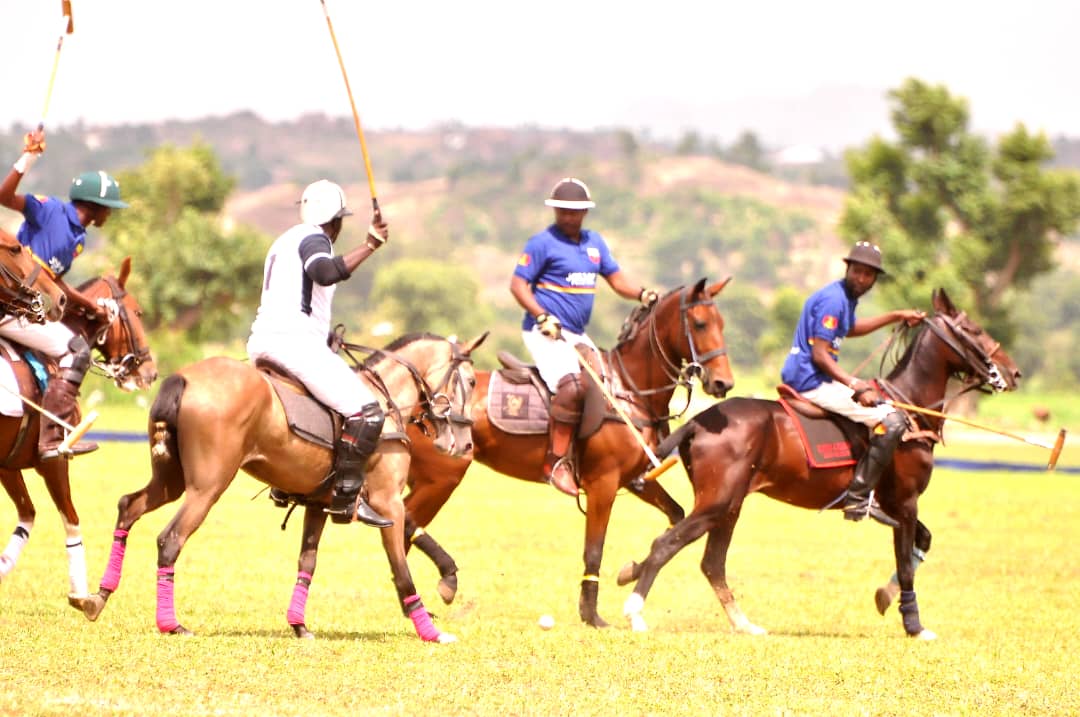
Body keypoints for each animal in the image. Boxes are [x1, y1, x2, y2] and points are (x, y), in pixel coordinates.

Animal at [0, 258, 157, 604]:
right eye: (138, 312)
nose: (151, 372)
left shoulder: (8, 464)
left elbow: (27, 514)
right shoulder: (54, 458)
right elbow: (71, 520)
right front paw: (83, 596)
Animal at [81, 332, 490, 643]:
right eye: (471, 382)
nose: (465, 444)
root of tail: (183, 378)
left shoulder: (319, 502)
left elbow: (307, 560)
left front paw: (299, 625)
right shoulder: (387, 501)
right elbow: (400, 566)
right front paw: (430, 627)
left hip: (171, 479)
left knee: (129, 506)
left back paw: (96, 598)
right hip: (208, 485)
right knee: (170, 538)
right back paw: (171, 624)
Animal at [403, 276, 734, 626]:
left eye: (722, 323)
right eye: (700, 324)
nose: (723, 383)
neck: (630, 390)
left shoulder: (636, 478)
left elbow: (676, 514)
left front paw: (631, 571)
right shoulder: (603, 482)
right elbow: (594, 549)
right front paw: (592, 615)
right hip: (444, 474)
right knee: (403, 520)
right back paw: (441, 584)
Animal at [617, 289, 1019, 639]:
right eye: (974, 330)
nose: (1013, 373)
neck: (910, 409)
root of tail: (698, 422)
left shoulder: (893, 503)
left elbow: (924, 540)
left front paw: (884, 597)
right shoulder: (906, 501)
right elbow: (906, 565)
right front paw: (914, 625)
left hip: (730, 504)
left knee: (711, 562)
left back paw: (742, 623)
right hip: (717, 501)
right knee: (667, 544)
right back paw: (635, 611)